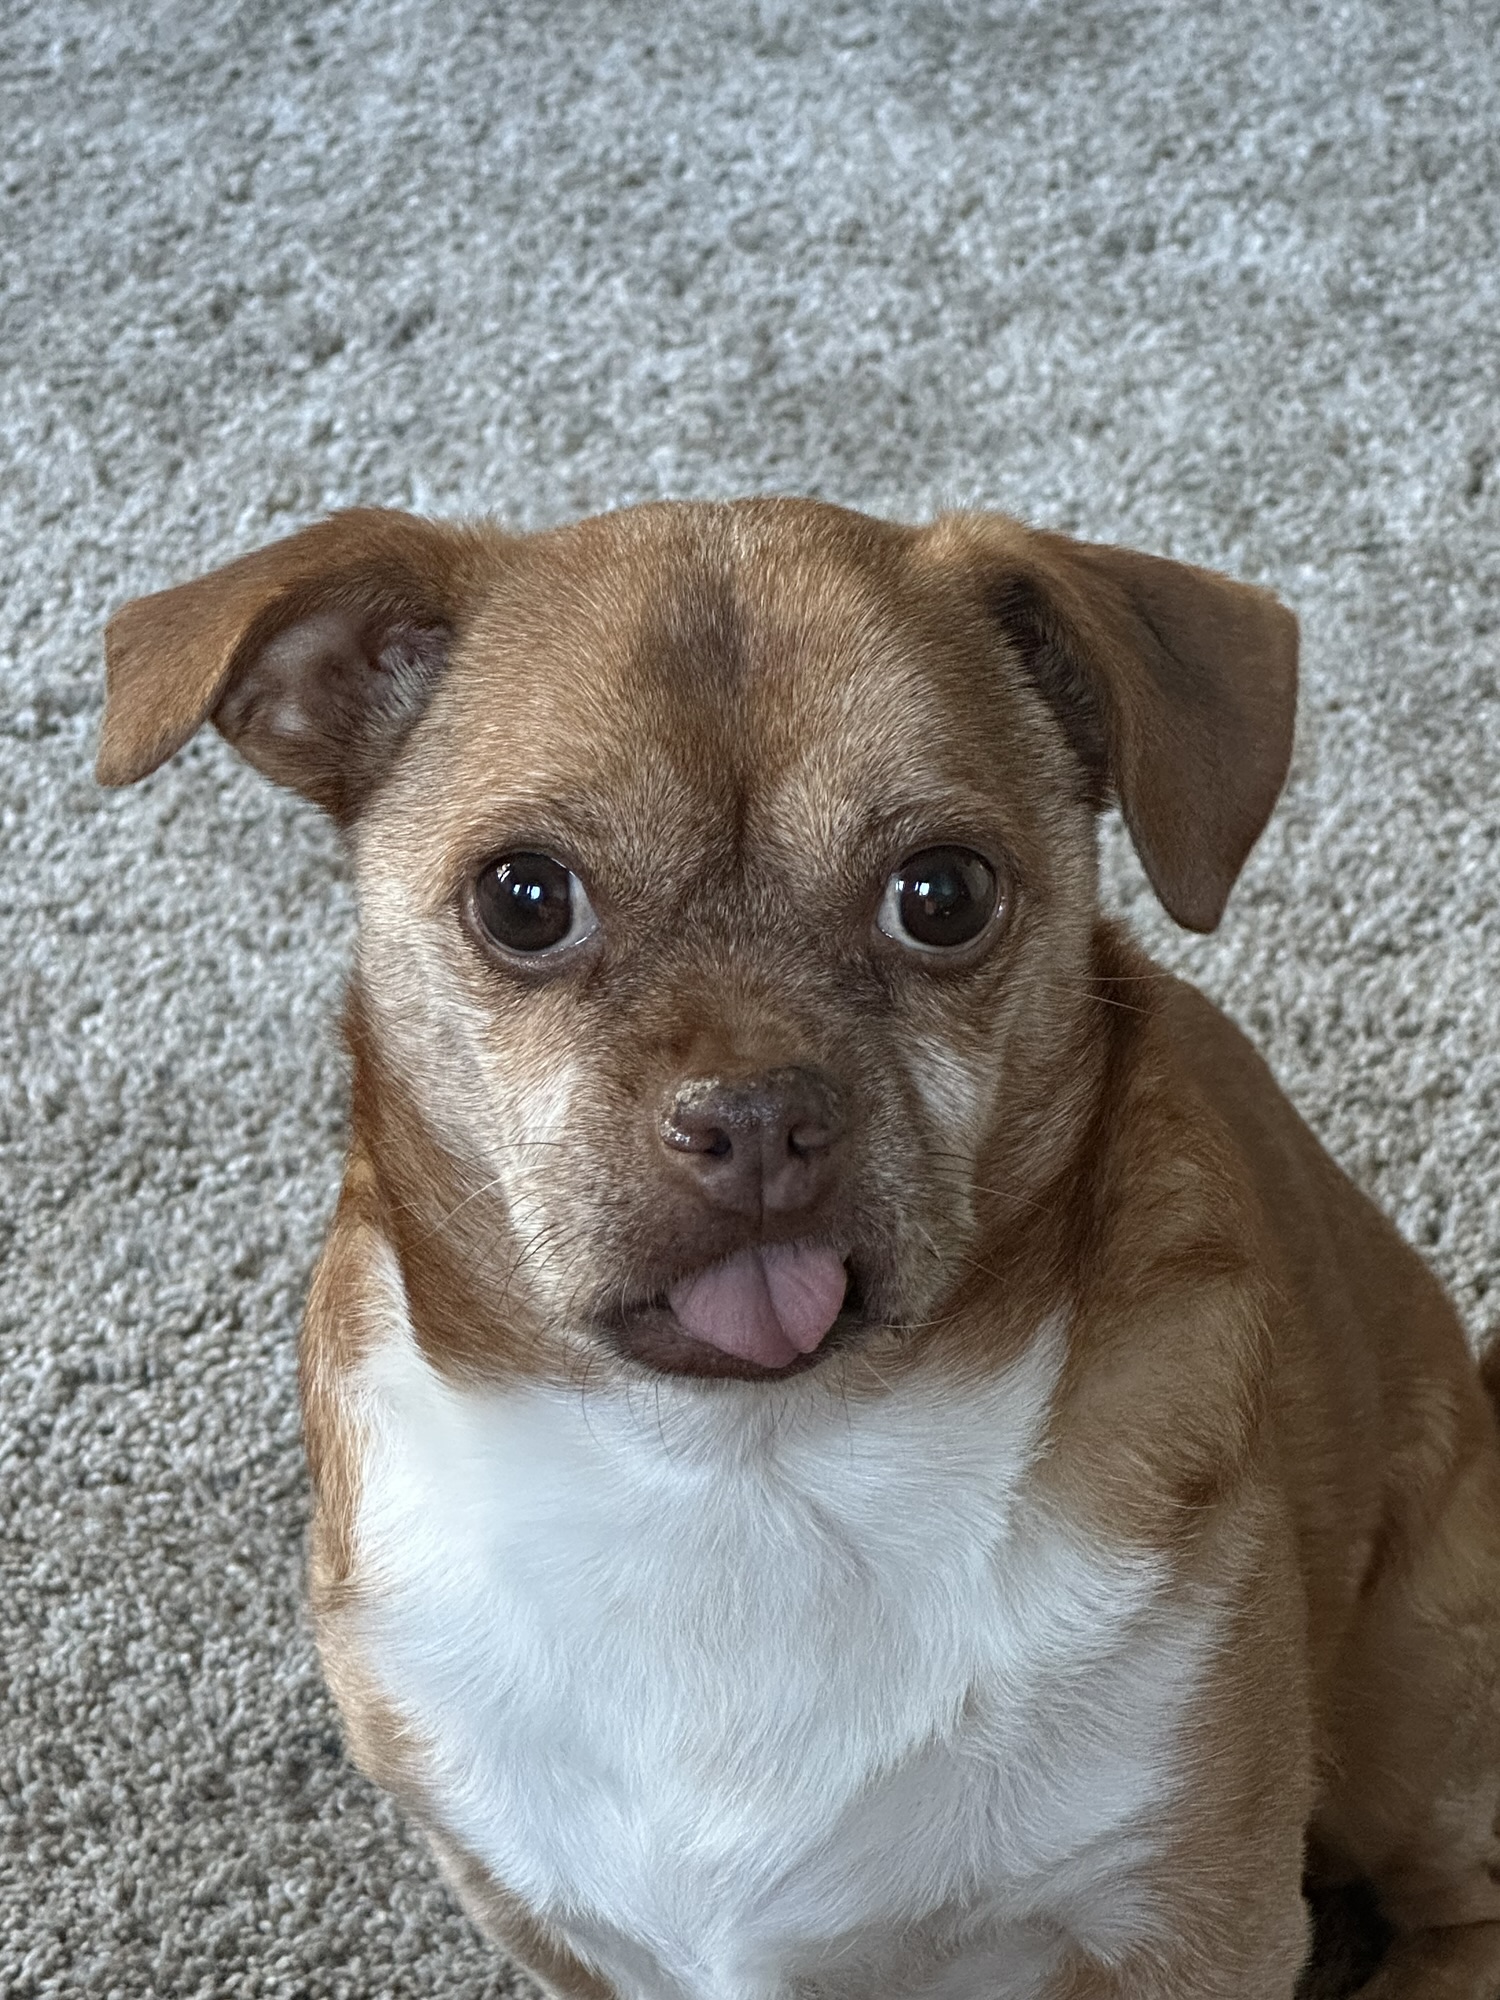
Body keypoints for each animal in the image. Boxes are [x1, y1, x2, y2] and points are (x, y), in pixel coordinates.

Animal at [97, 499, 1500, 1999]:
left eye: (942, 894)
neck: (744, 1476)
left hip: (1410, 1697)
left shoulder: (1197, 1920)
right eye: (524, 899)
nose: (758, 1115)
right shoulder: (550, 1923)